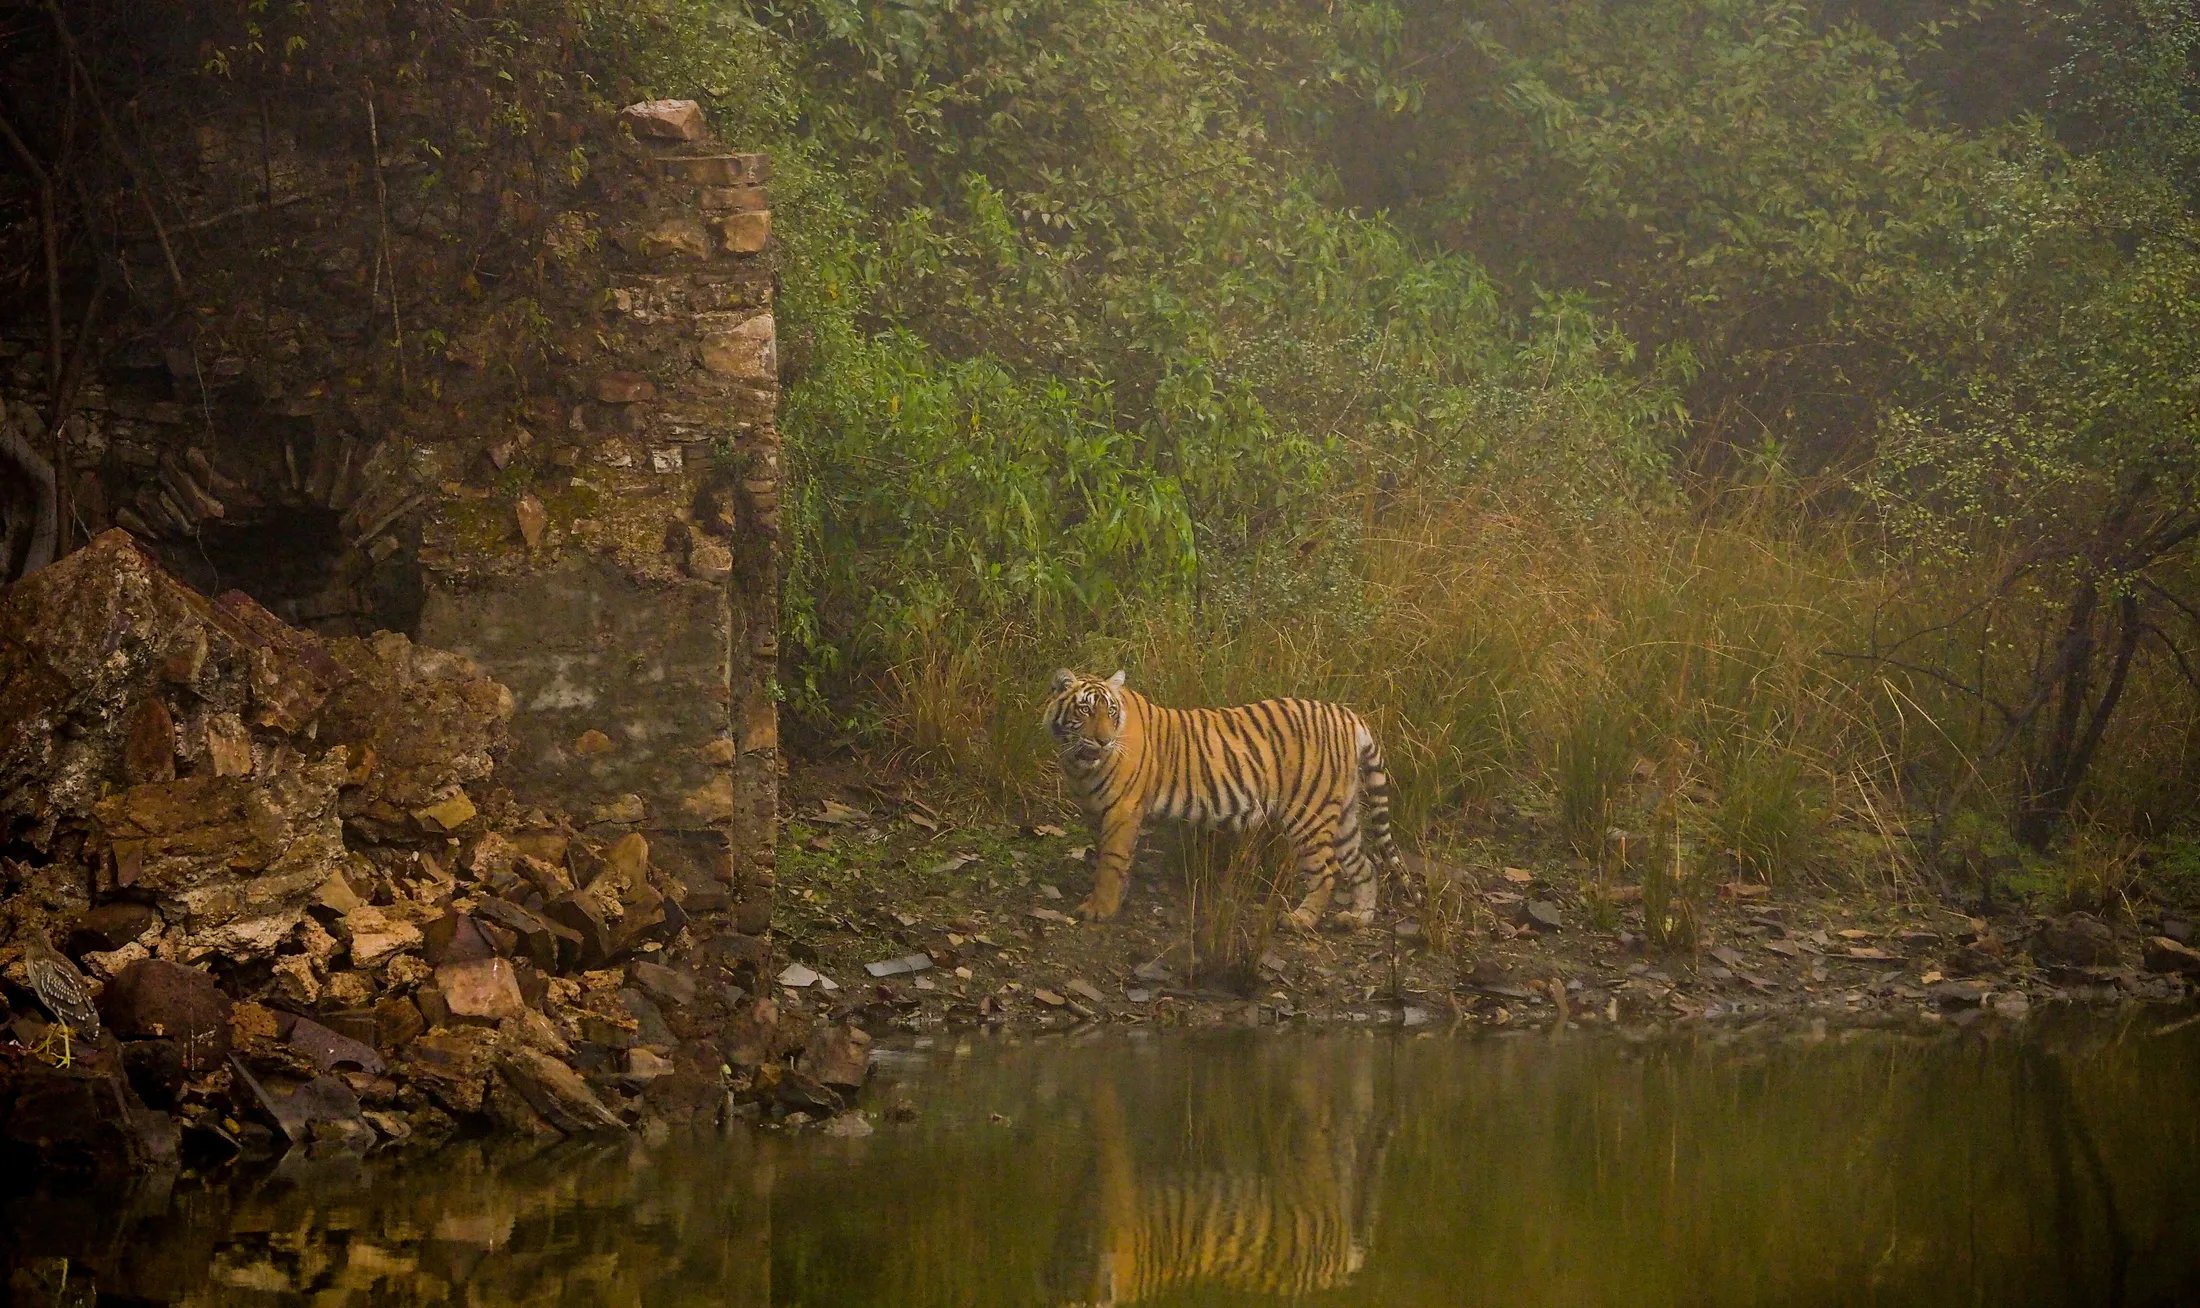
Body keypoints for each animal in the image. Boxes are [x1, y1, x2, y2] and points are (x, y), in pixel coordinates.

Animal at [1042, 668, 1402, 931]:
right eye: (1085, 709)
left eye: (1111, 711)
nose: (1103, 741)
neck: (1079, 765)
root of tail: (1347, 715)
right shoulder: (1095, 811)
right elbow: (1114, 858)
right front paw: (1118, 896)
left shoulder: (1122, 810)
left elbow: (1110, 861)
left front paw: (1099, 909)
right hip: (1342, 814)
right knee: (1365, 866)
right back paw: (1356, 919)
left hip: (1309, 813)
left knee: (1327, 871)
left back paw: (1300, 920)